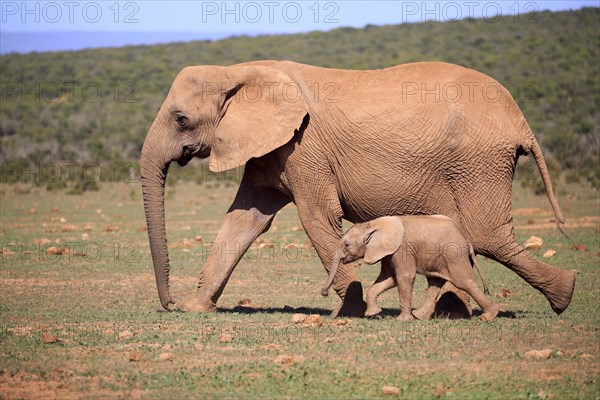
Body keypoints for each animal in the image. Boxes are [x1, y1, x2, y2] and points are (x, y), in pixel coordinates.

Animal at [322, 216, 500, 322]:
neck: (373, 224)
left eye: (346, 245)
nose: (324, 293)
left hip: (453, 255)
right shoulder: (389, 252)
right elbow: (389, 278)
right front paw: (372, 313)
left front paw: (402, 320)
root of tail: (466, 239)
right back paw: (420, 316)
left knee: (464, 282)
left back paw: (489, 316)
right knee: (435, 283)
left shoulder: (402, 249)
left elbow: (403, 277)